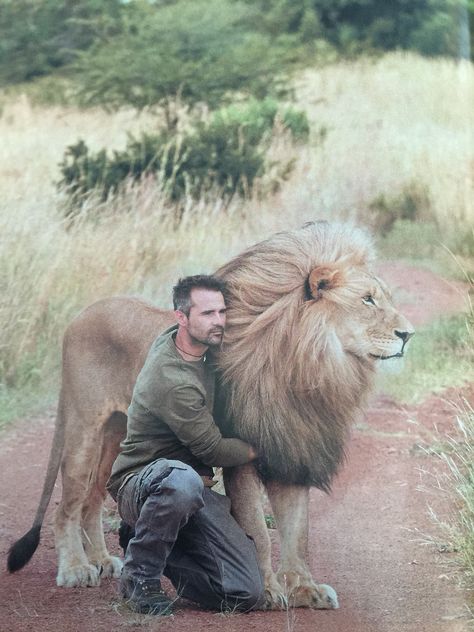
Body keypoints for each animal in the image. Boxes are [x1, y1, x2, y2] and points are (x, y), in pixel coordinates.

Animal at [8, 222, 414, 608]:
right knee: (66, 506)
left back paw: (104, 561)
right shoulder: (245, 459)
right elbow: (259, 533)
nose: (408, 334)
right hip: (83, 431)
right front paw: (269, 592)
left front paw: (305, 589)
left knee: (92, 500)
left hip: (115, 436)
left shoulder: (293, 450)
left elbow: (298, 533)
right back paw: (76, 569)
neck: (311, 364)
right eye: (367, 299)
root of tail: (81, 315)